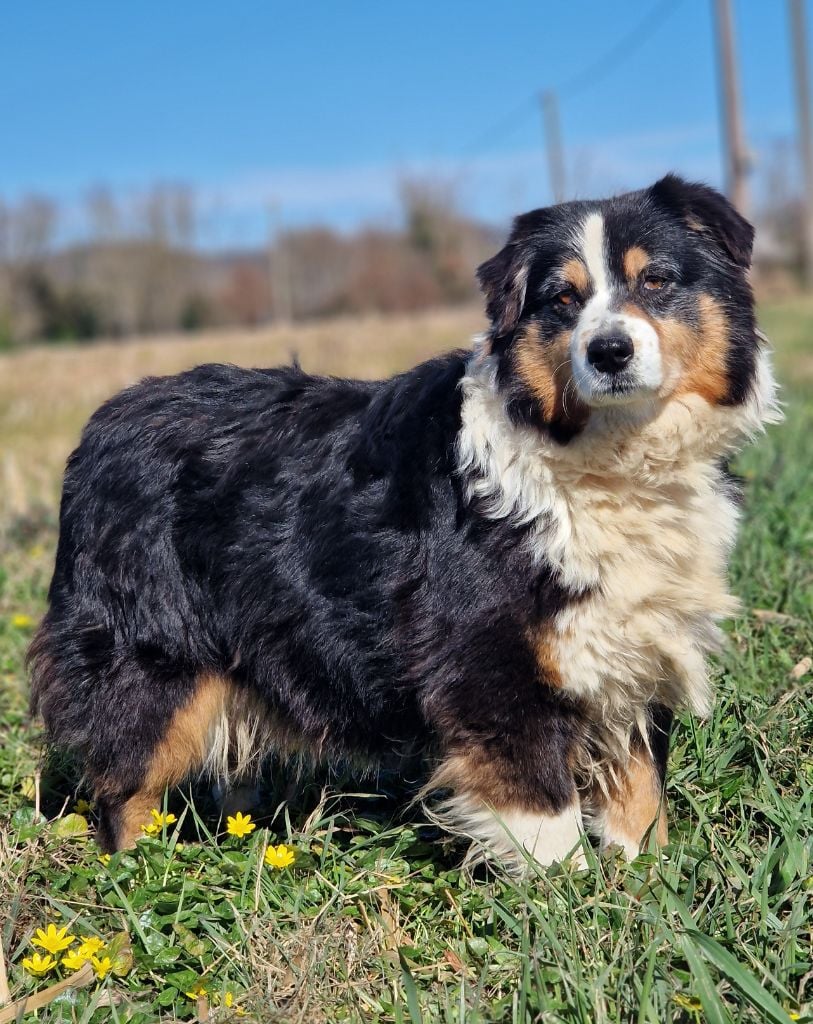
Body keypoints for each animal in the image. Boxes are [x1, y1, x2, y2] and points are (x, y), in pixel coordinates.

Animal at [30, 176, 778, 864]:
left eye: (655, 280)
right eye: (561, 299)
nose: (609, 352)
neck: (603, 455)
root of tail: (103, 423)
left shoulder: (630, 645)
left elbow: (639, 793)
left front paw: (645, 887)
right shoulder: (487, 663)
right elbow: (545, 819)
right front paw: (567, 904)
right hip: (155, 656)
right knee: (125, 786)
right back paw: (143, 875)